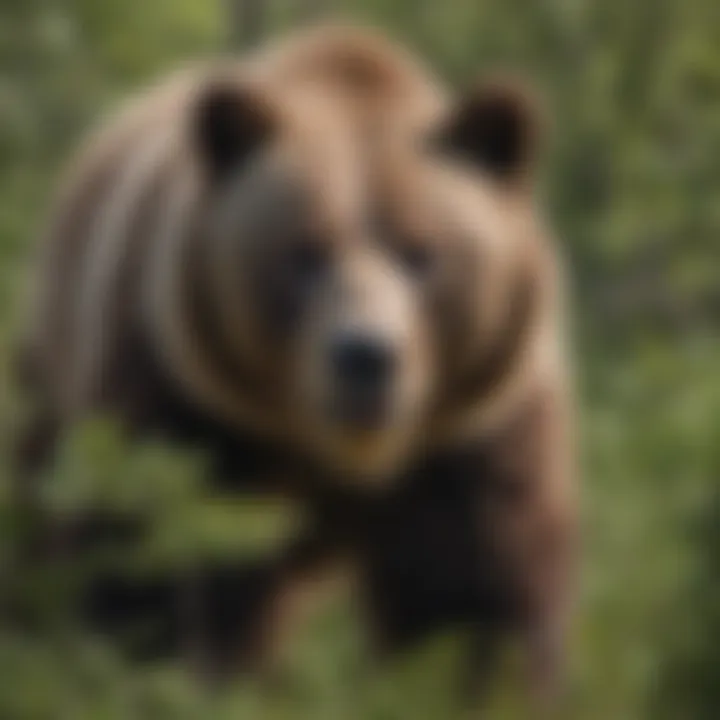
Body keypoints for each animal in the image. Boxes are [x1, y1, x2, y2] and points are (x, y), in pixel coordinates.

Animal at [15, 22, 580, 708]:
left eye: (420, 252)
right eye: (304, 253)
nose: (365, 356)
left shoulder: (477, 420)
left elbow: (470, 587)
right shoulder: (188, 400)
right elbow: (159, 557)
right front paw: (167, 674)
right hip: (56, 368)